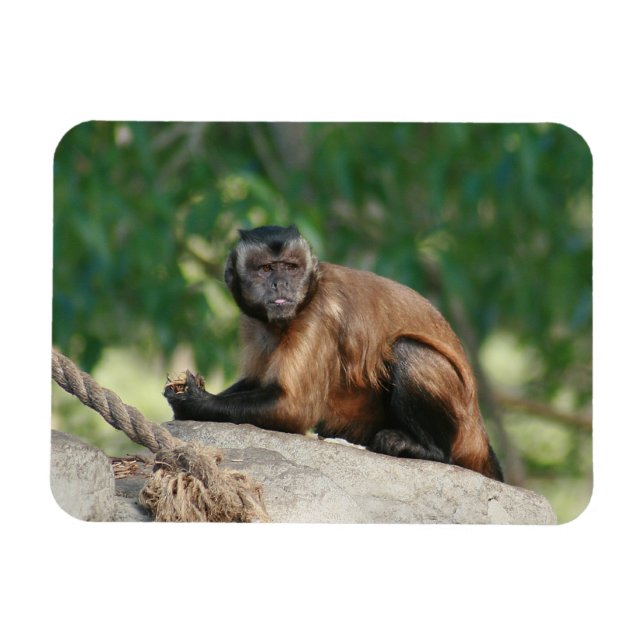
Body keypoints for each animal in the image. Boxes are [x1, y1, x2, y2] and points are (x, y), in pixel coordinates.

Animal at [164, 224, 503, 481]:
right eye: (266, 269)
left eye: (290, 268)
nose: (280, 284)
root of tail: (480, 435)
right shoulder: (252, 322)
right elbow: (260, 382)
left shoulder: (318, 314)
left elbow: (293, 408)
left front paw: (194, 402)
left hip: (462, 431)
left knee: (407, 349)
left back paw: (428, 451)